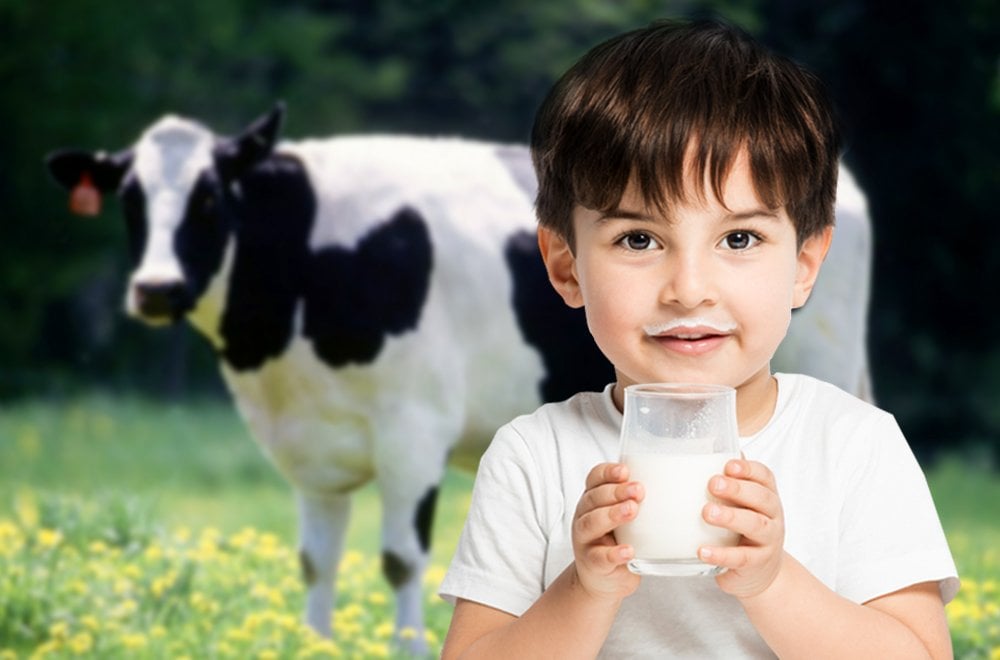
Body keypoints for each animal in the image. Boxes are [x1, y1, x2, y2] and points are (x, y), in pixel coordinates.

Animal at [47, 105, 872, 652]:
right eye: (129, 199)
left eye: (209, 196)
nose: (155, 288)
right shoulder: (311, 445)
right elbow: (316, 559)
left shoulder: (411, 427)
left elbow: (399, 558)